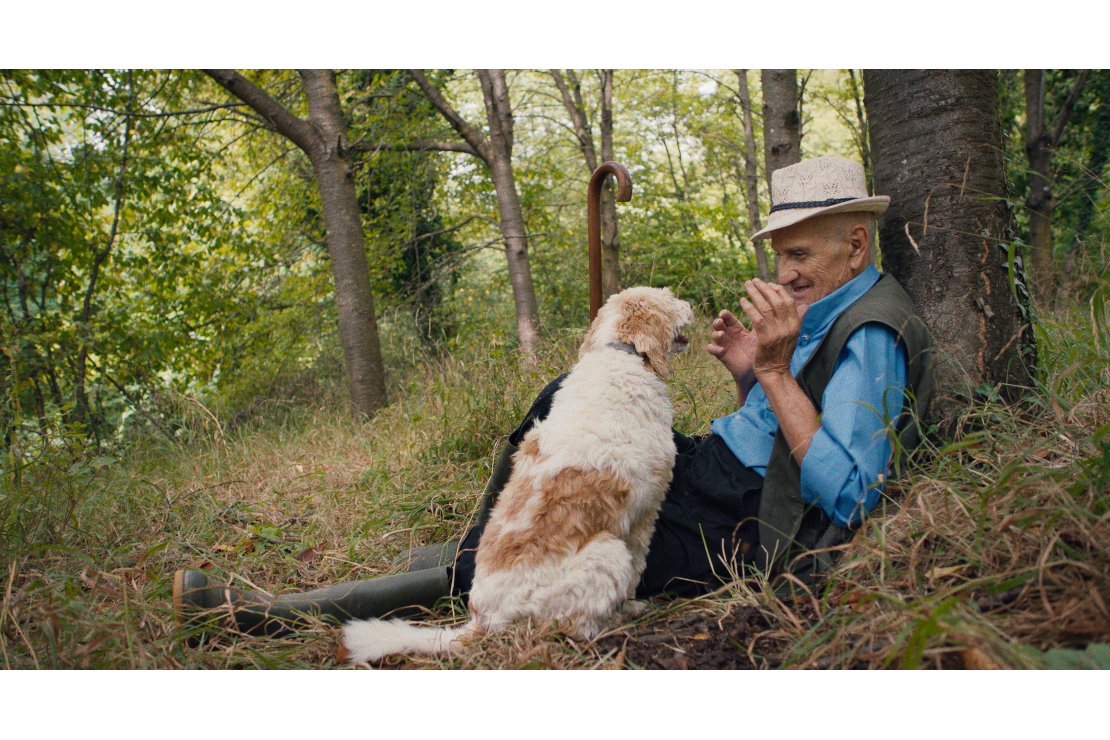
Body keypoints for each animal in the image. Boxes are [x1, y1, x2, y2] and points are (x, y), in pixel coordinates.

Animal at [339, 286, 692, 661]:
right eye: (668, 298)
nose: (690, 305)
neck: (619, 354)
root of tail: (484, 619)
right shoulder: (645, 513)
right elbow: (640, 564)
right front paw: (634, 600)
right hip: (608, 554)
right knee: (576, 627)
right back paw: (625, 615)